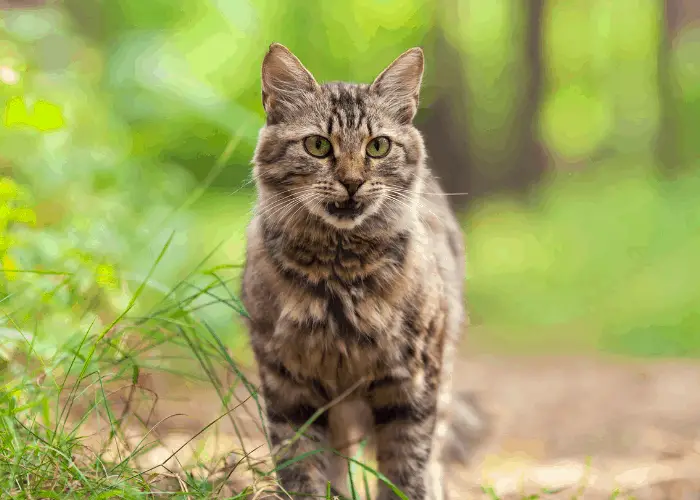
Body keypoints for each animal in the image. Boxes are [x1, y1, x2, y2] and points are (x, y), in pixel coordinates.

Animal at [241, 44, 464, 500]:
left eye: (377, 147)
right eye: (317, 146)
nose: (352, 182)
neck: (338, 275)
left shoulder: (411, 381)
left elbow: (405, 470)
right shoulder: (288, 383)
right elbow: (301, 466)